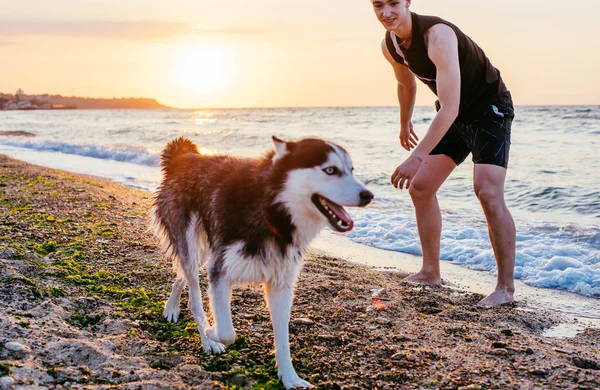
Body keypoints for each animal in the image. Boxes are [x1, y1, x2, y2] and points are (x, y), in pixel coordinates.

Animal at [152, 136, 372, 388]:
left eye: (351, 170)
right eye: (330, 170)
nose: (368, 195)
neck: (270, 208)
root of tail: (184, 157)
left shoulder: (281, 284)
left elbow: (283, 339)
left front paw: (289, 377)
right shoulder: (220, 271)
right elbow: (227, 332)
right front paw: (211, 333)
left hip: (204, 248)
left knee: (183, 277)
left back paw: (172, 307)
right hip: (192, 243)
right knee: (194, 294)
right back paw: (205, 337)